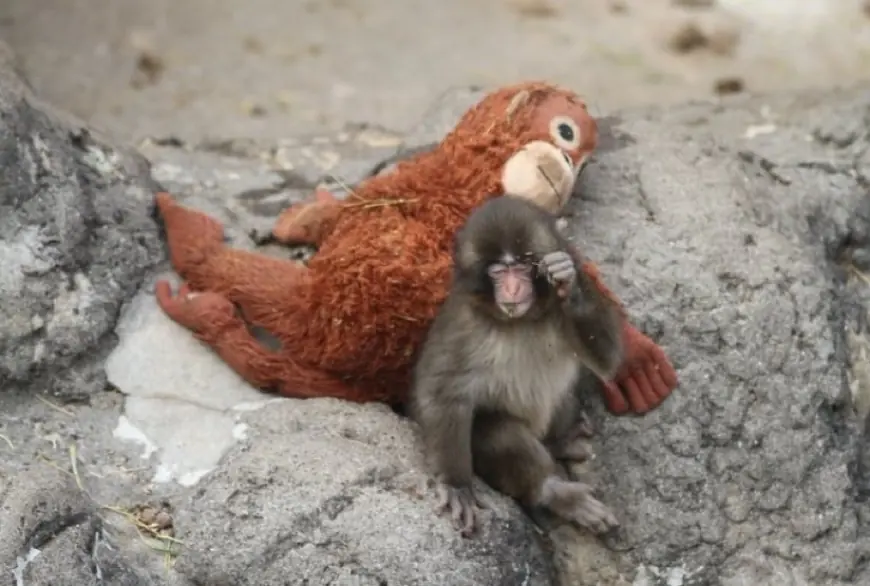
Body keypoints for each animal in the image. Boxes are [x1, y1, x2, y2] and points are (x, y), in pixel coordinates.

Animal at [407, 194, 624, 537]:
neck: (521, 320)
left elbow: (608, 360)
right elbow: (440, 393)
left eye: (522, 268)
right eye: (499, 272)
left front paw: (568, 283)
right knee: (502, 434)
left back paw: (562, 440)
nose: (511, 290)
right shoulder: (464, 324)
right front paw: (456, 484)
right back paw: (552, 491)